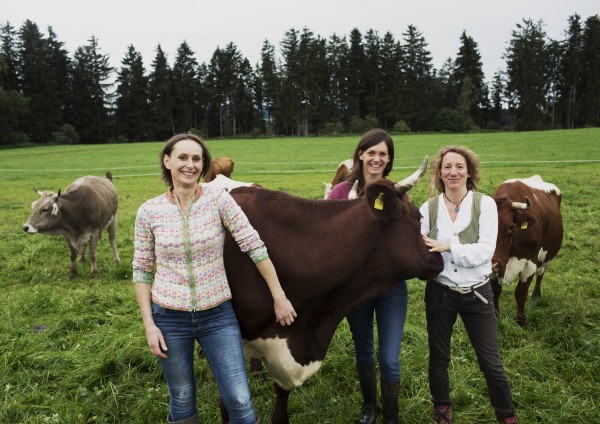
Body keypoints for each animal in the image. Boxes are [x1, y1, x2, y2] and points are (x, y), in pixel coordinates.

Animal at [490, 174, 564, 326]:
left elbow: (520, 293)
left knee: (541, 273)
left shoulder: (529, 263)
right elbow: (495, 291)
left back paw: (536, 294)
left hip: (546, 256)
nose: (493, 263)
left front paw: (521, 321)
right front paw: (496, 315)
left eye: (511, 226)